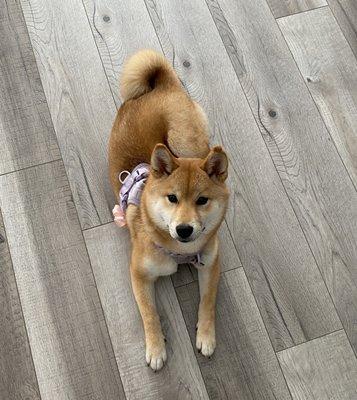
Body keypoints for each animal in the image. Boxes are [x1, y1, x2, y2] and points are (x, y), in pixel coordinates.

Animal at [107, 50, 228, 372]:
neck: (179, 251)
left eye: (202, 200)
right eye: (172, 198)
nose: (184, 229)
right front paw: (156, 348)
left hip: (186, 142)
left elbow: (208, 302)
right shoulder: (139, 273)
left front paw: (206, 336)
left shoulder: (210, 264)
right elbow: (149, 313)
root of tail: (162, 87)